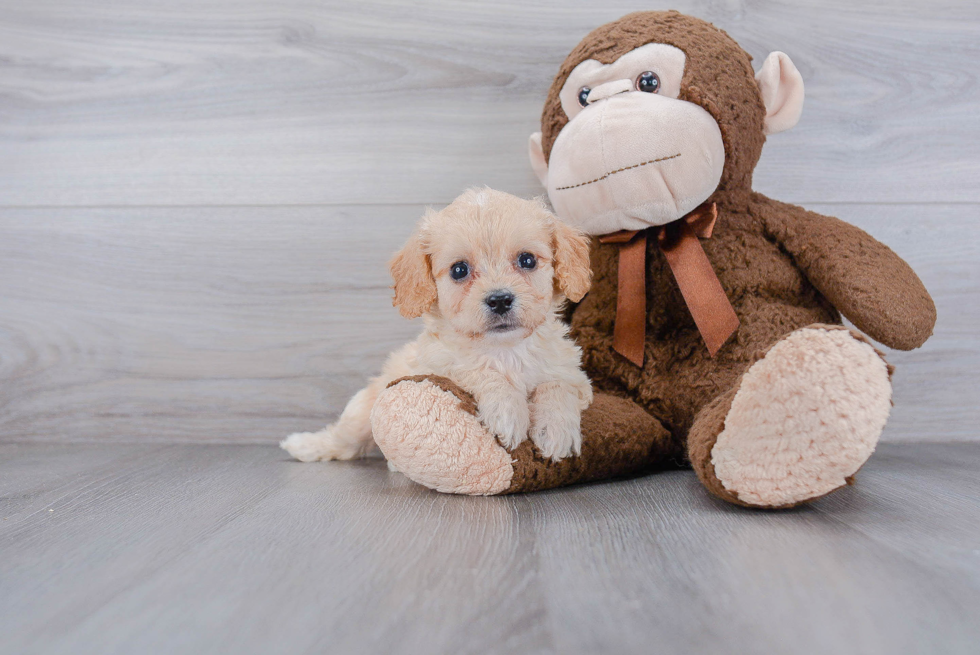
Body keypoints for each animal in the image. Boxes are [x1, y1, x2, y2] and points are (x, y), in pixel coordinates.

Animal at [280, 187, 592, 464]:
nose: (500, 300)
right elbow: (477, 370)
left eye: (527, 260)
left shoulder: (577, 378)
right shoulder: (436, 366)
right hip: (362, 409)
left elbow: (558, 386)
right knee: (344, 440)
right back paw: (304, 445)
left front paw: (555, 430)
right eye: (459, 270)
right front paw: (508, 411)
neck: (505, 350)